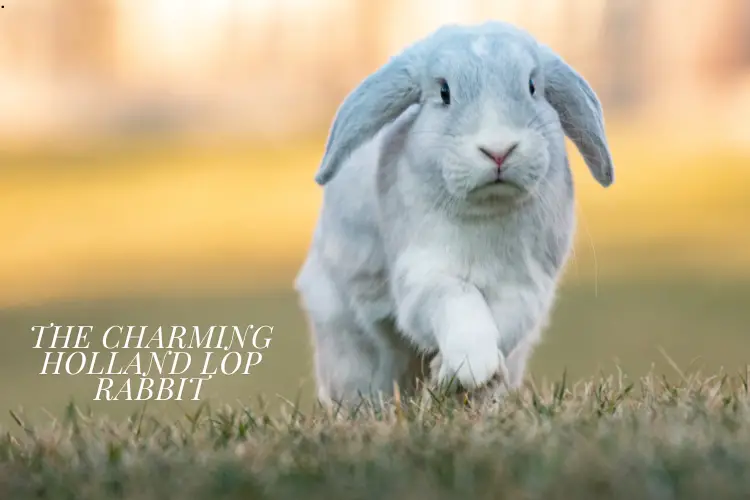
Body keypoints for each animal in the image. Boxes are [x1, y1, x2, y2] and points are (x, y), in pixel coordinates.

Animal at [290, 21, 612, 408]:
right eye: (444, 93)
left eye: (533, 87)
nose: (498, 150)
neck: (487, 208)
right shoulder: (423, 277)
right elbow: (458, 301)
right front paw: (470, 365)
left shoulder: (524, 286)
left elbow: (504, 322)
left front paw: (453, 374)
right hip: (346, 340)